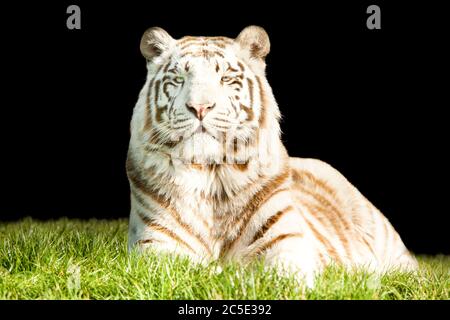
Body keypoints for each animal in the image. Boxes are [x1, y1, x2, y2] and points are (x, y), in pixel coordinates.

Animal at [126, 25, 418, 284]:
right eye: (179, 79)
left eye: (225, 79)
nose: (200, 107)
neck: (211, 177)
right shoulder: (155, 242)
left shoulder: (287, 241)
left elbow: (281, 276)